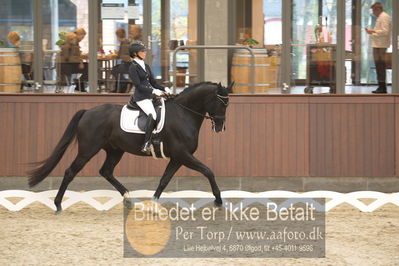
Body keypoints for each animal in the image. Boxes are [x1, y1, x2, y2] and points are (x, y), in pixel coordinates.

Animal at [27, 81, 231, 214]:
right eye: (222, 103)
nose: (220, 127)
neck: (184, 113)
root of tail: (87, 112)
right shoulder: (183, 155)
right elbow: (208, 171)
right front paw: (218, 200)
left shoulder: (177, 158)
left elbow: (164, 180)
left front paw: (152, 205)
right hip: (88, 150)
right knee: (71, 172)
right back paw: (58, 205)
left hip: (115, 150)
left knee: (106, 171)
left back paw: (128, 199)